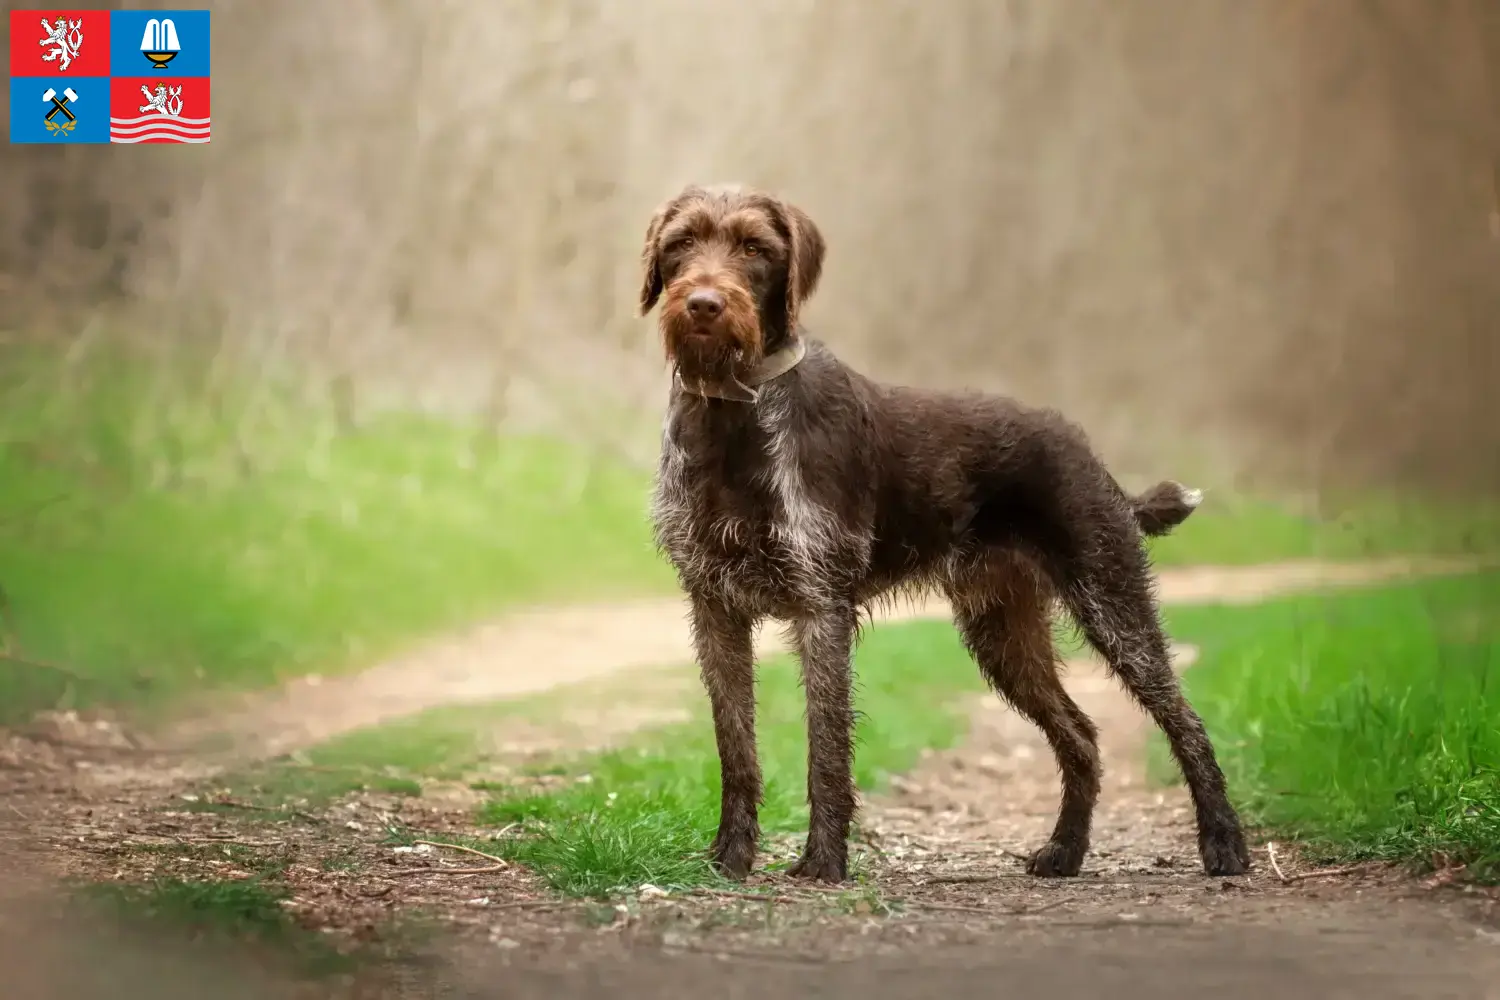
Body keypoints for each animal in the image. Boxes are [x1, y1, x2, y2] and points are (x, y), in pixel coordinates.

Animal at [639, 182, 1248, 881]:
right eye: (682, 242)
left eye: (754, 248)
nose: (704, 304)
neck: (732, 414)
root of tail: (1089, 454)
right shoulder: (714, 607)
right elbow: (735, 747)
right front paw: (730, 858)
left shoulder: (821, 605)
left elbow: (827, 747)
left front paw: (824, 862)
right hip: (1003, 631)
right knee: (1081, 736)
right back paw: (1065, 850)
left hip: (1111, 600)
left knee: (1184, 720)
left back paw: (1224, 843)